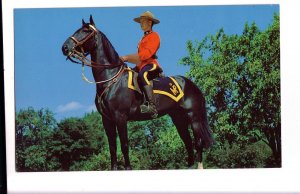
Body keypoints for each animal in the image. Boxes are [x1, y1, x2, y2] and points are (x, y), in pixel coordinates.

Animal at [62, 15, 214, 170]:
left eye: (86, 30)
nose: (65, 47)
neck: (111, 79)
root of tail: (191, 84)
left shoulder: (120, 117)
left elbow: (124, 145)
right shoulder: (107, 120)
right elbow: (112, 148)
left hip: (193, 117)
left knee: (198, 143)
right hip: (178, 118)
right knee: (187, 142)